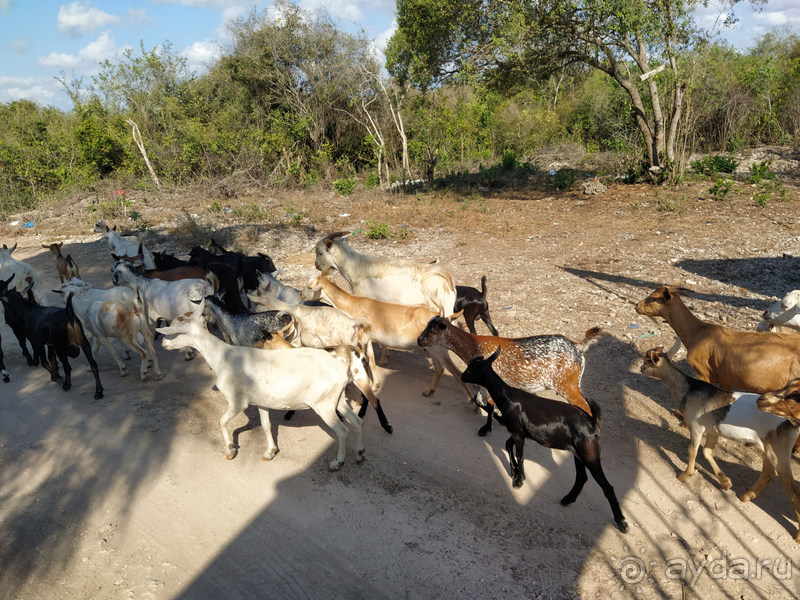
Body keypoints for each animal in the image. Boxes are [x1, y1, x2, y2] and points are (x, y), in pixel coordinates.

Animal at [155, 300, 366, 468]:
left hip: (324, 406)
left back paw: (337, 463)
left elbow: (221, 421)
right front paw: (270, 452)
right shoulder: (262, 402)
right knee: (357, 421)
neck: (223, 357)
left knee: (343, 431)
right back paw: (359, 454)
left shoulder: (237, 402)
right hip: (338, 400)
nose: (163, 344)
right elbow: (266, 424)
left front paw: (230, 450)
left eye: (175, 332)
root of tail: (341, 366)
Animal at [418, 314, 600, 436]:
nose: (419, 340)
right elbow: (480, 401)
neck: (474, 345)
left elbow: (489, 404)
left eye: (431, 330)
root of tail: (577, 346)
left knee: (586, 408)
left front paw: (487, 428)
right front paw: (499, 420)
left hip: (566, 385)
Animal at [462, 346, 632, 536]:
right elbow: (508, 445)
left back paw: (622, 522)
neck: (506, 396)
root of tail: (592, 421)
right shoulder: (518, 431)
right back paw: (568, 499)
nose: (462, 376)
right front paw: (514, 472)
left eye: (471, 368)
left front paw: (519, 479)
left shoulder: (518, 433)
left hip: (590, 452)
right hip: (579, 452)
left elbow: (520, 455)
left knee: (606, 486)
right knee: (581, 477)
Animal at [640, 346, 800, 544]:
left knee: (791, 488)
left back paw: (798, 535)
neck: (689, 390)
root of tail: (793, 421)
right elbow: (707, 452)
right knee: (768, 473)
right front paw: (725, 482)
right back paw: (745, 496)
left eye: (647, 360)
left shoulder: (696, 426)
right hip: (769, 447)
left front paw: (685, 475)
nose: (640, 368)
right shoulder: (713, 430)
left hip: (779, 450)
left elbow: (692, 450)